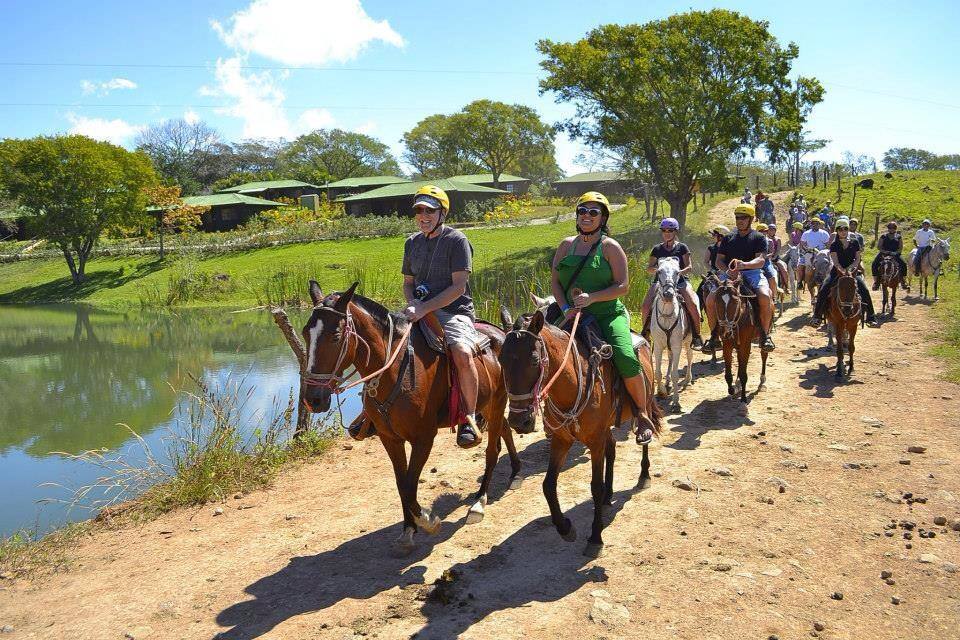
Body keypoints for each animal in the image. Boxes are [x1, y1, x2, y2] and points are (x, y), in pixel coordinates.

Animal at [302, 282, 520, 552]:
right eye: (305, 333)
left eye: (335, 336)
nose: (313, 399)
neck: (395, 371)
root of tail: (500, 332)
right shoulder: (390, 438)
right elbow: (401, 483)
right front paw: (409, 528)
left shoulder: (423, 438)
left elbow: (409, 484)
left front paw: (427, 520)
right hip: (491, 405)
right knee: (505, 430)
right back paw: (516, 473)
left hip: (497, 402)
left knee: (492, 451)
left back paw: (479, 502)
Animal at [496, 308, 660, 556]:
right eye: (501, 360)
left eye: (534, 360)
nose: (519, 421)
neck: (571, 385)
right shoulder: (562, 440)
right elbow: (548, 485)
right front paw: (564, 527)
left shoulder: (594, 441)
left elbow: (595, 487)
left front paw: (595, 537)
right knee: (612, 448)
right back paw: (609, 497)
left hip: (645, 405)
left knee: (644, 437)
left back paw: (644, 475)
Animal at [648, 258, 692, 412]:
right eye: (659, 271)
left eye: (677, 272)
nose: (668, 294)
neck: (667, 314)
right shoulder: (658, 346)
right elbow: (657, 372)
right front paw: (661, 391)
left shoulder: (677, 346)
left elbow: (675, 374)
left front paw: (676, 402)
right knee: (670, 358)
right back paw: (667, 383)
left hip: (688, 341)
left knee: (690, 356)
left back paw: (687, 379)